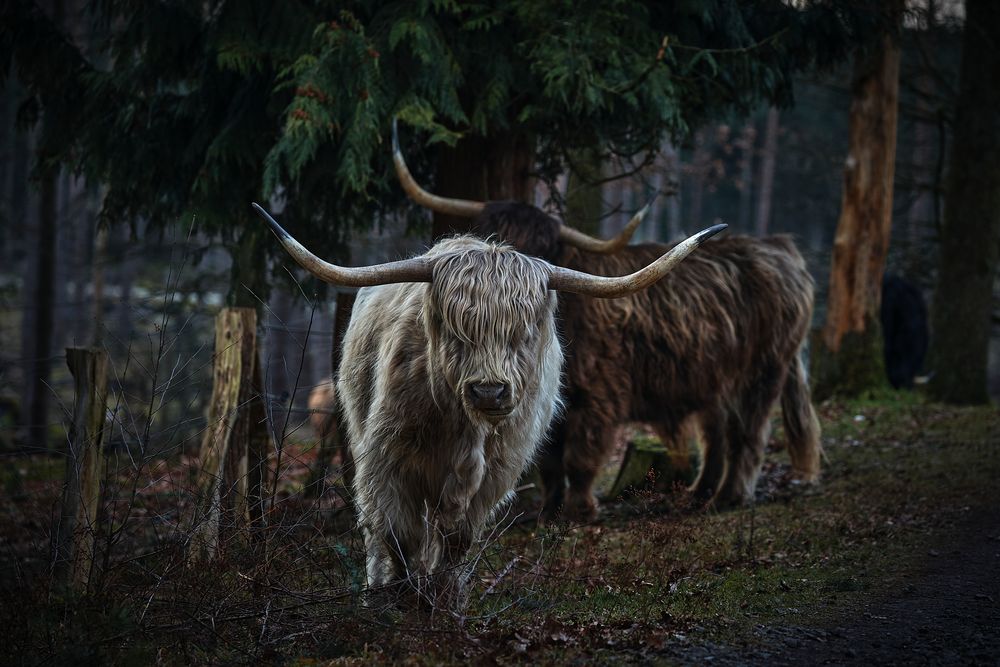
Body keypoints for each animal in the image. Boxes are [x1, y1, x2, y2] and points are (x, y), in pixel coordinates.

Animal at [390, 126, 820, 520]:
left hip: (762, 373)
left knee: (747, 433)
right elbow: (550, 460)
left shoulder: (598, 394)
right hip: (714, 378)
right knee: (716, 432)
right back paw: (700, 494)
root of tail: (781, 248)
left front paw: (581, 509)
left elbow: (581, 456)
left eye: (541, 248)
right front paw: (549, 510)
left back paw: (729, 497)